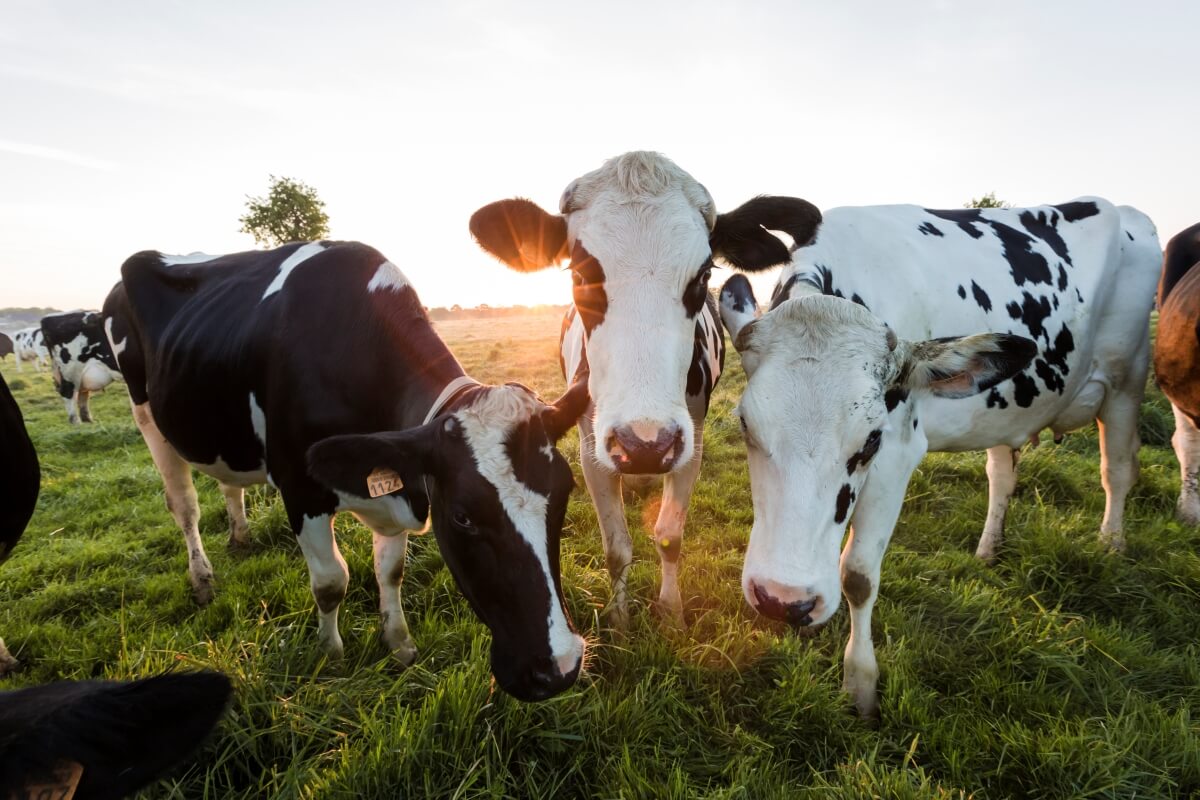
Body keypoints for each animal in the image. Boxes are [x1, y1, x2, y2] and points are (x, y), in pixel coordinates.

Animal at [102, 241, 590, 702]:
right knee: (184, 506)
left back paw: (240, 537)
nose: (560, 667)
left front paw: (399, 644)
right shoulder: (300, 487)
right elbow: (331, 582)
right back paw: (202, 578)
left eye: (565, 494)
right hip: (146, 414)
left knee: (229, 486)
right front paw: (331, 654)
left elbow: (390, 571)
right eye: (463, 516)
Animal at [470, 151, 821, 628]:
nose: (644, 445)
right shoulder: (591, 448)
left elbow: (670, 534)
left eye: (703, 274)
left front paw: (671, 612)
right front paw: (620, 618)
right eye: (579, 272)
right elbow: (615, 545)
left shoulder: (690, 441)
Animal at [719, 197, 1159, 718]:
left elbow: (858, 575)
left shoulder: (898, 452)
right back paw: (989, 549)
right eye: (745, 425)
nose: (785, 600)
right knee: (1002, 474)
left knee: (1117, 469)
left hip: (1127, 380)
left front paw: (860, 685)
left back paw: (1111, 544)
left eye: (871, 441)